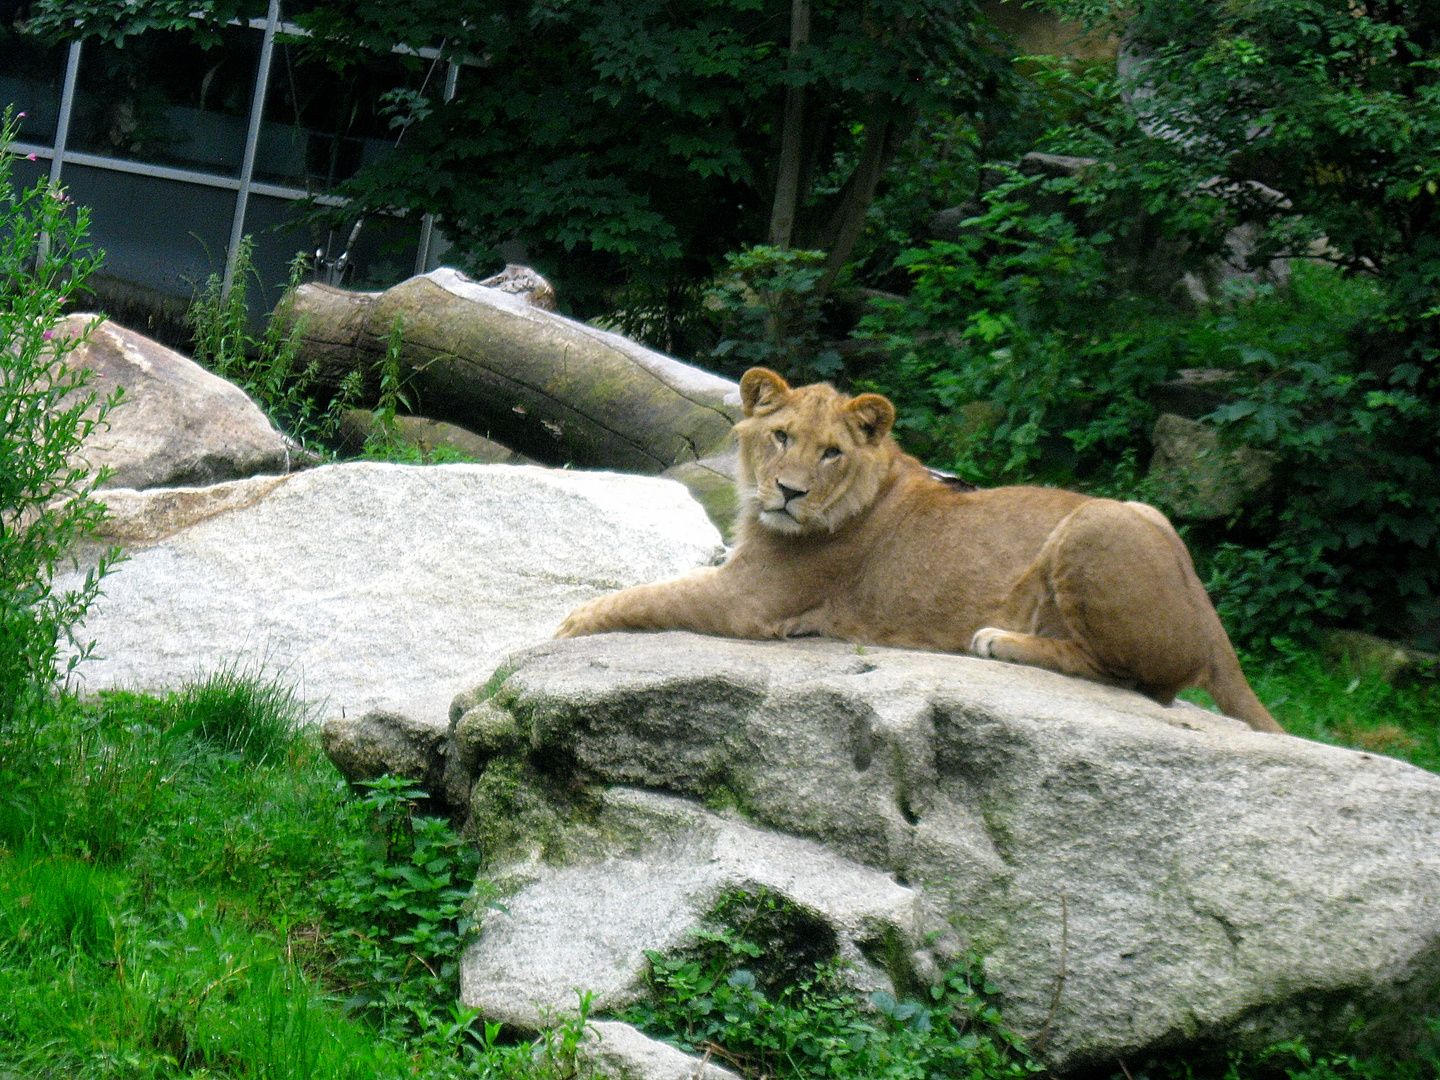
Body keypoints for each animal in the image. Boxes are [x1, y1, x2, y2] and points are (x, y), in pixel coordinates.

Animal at [555, 365, 1290, 737]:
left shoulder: (752, 601)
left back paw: (999, 641)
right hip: (1141, 510)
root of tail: (1208, 613)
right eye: (781, 436)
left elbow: (642, 597)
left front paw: (564, 628)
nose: (789, 493)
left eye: (831, 451)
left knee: (1132, 679)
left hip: (1091, 523)